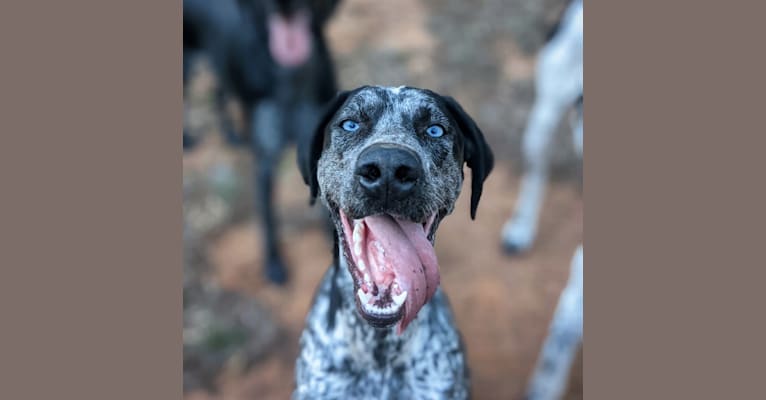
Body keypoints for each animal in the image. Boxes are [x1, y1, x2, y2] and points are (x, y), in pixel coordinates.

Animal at [184, 0, 340, 284]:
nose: (284, 5)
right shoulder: (264, 161)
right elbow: (268, 217)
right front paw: (273, 263)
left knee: (218, 91)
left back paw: (231, 135)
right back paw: (186, 139)